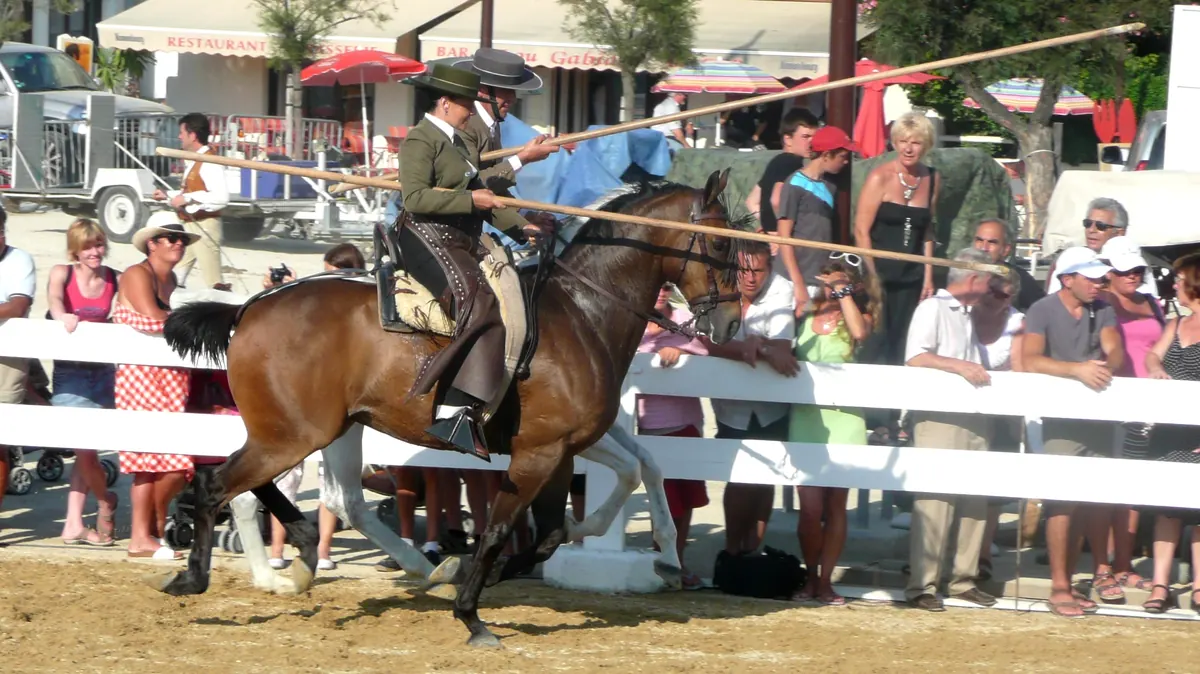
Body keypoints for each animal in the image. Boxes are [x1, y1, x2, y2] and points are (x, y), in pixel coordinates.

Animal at [159, 169, 742, 647]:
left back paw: (307, 557)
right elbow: (501, 530)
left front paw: (471, 573)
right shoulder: (537, 455)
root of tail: (249, 308)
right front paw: (471, 612)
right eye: (719, 243)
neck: (582, 313)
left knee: (293, 491)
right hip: (295, 434)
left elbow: (562, 525)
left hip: (314, 430)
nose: (732, 323)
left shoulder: (563, 451)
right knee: (222, 485)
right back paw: (201, 572)